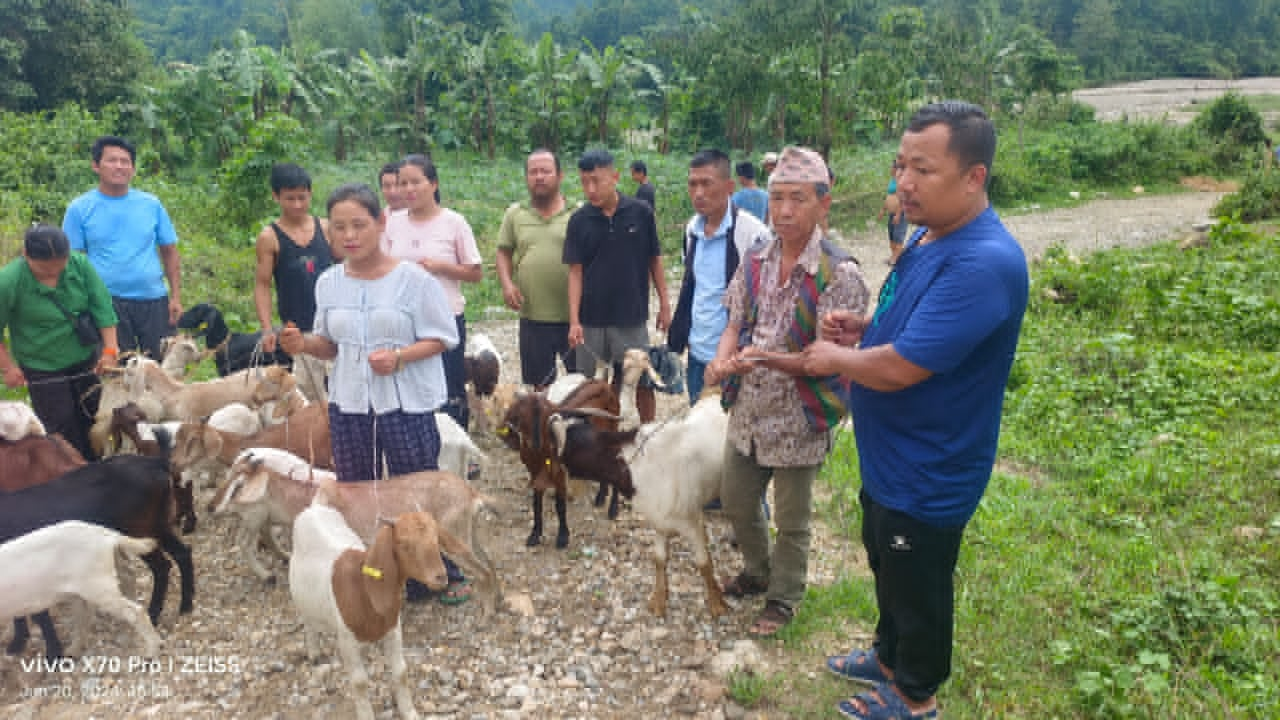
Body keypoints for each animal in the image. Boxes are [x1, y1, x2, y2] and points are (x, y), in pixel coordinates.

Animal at [0, 517, 162, 653]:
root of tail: (106, 535)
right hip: (85, 588)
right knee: (86, 616)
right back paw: (73, 650)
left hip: (98, 585)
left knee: (136, 612)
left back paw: (151, 652)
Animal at [288, 497, 453, 717]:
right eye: (403, 543)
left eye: (436, 538)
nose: (440, 577)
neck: (363, 587)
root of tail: (314, 507)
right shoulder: (346, 641)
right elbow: (359, 682)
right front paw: (366, 714)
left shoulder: (393, 629)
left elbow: (400, 672)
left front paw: (409, 712)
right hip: (301, 597)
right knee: (308, 622)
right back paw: (314, 653)